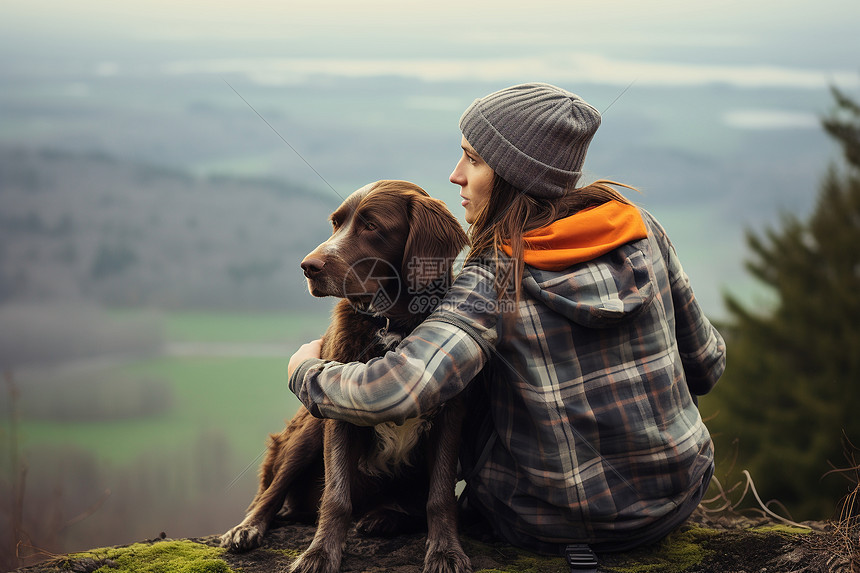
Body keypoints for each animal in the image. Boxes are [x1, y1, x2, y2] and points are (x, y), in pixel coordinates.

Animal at [222, 180, 470, 572]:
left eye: (371, 225)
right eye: (336, 224)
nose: (307, 266)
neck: (392, 322)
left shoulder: (450, 413)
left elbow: (440, 494)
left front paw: (445, 550)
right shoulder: (337, 408)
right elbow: (337, 495)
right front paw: (320, 554)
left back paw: (386, 517)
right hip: (309, 428)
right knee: (272, 493)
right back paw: (247, 528)